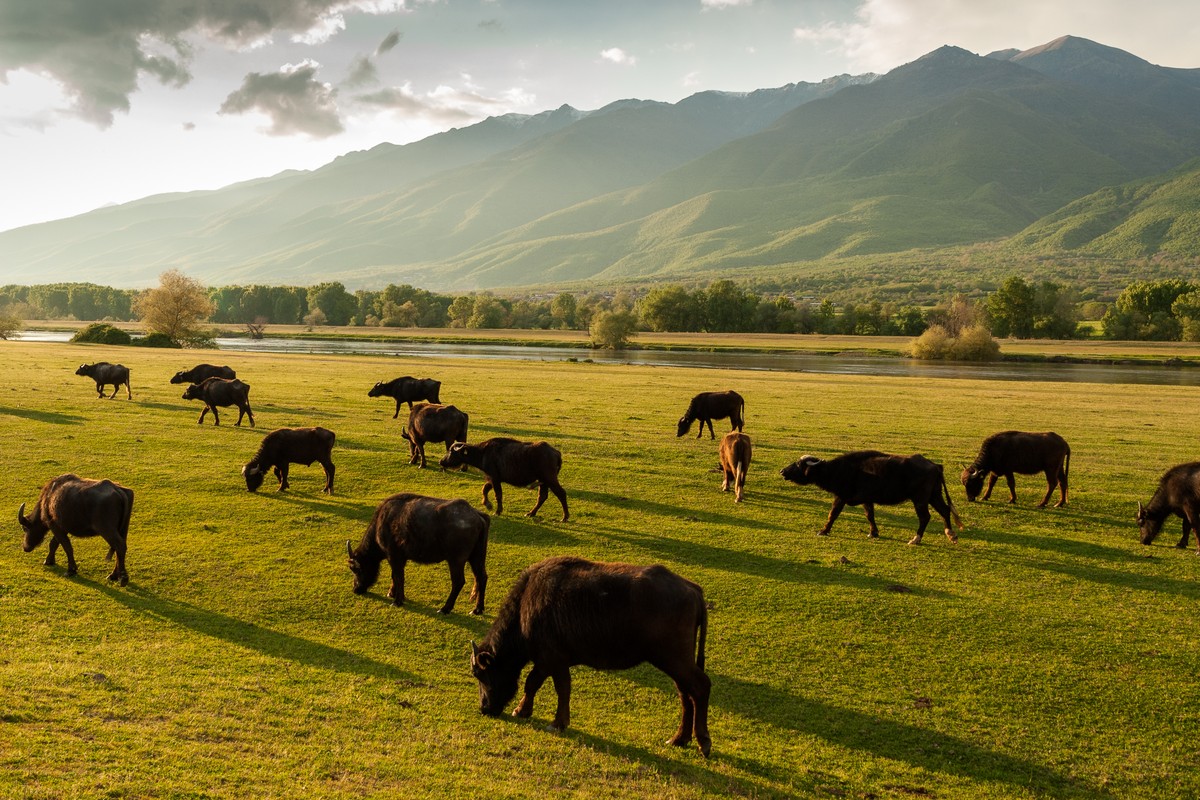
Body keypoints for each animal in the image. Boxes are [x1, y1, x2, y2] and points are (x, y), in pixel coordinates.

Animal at [348, 491, 487, 618]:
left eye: (357, 569)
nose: (356, 589)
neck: (382, 521)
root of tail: (477, 515)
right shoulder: (400, 558)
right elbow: (395, 576)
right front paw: (392, 593)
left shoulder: (394, 556)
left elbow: (398, 577)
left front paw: (397, 601)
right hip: (477, 557)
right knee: (482, 578)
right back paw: (477, 609)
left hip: (456, 561)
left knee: (458, 582)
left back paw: (445, 608)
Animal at [470, 556, 710, 758]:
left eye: (482, 675)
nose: (484, 708)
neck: (525, 606)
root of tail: (693, 590)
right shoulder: (546, 662)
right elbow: (534, 684)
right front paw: (523, 710)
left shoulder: (553, 660)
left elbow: (557, 687)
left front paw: (557, 722)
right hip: (676, 663)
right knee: (685, 694)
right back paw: (679, 739)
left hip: (674, 660)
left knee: (700, 687)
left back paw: (703, 743)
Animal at [777, 450, 964, 544]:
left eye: (798, 464)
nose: (782, 471)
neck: (838, 470)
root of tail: (935, 465)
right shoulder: (867, 500)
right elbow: (870, 515)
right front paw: (874, 532)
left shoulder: (841, 497)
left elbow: (833, 514)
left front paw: (824, 530)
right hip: (934, 495)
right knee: (945, 510)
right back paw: (951, 534)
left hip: (920, 499)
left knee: (925, 517)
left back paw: (916, 539)